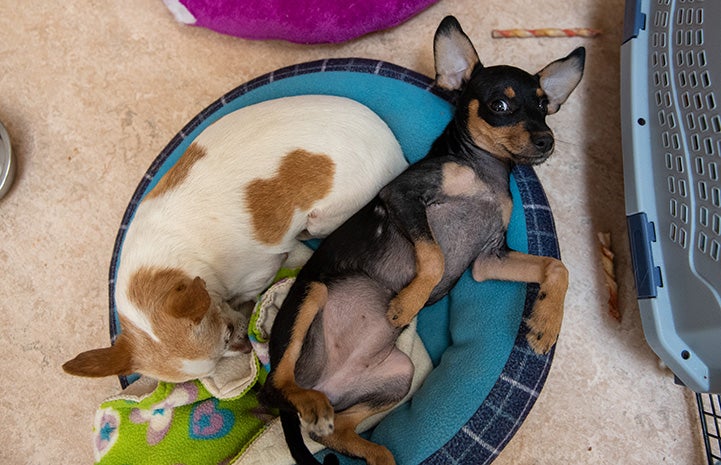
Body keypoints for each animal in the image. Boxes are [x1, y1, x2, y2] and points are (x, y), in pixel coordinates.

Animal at [64, 94, 408, 380]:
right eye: (225, 341)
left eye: (228, 332)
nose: (247, 349)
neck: (175, 261)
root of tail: (397, 153)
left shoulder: (259, 271)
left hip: (324, 218)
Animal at [258, 15, 584, 464]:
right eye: (499, 106)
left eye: (544, 107)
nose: (545, 140)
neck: (484, 171)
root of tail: (322, 388)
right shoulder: (404, 197)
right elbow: (435, 257)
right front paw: (406, 305)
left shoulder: (488, 259)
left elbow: (557, 267)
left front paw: (546, 324)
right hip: (312, 295)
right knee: (274, 387)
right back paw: (310, 404)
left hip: (399, 374)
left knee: (336, 431)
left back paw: (377, 452)